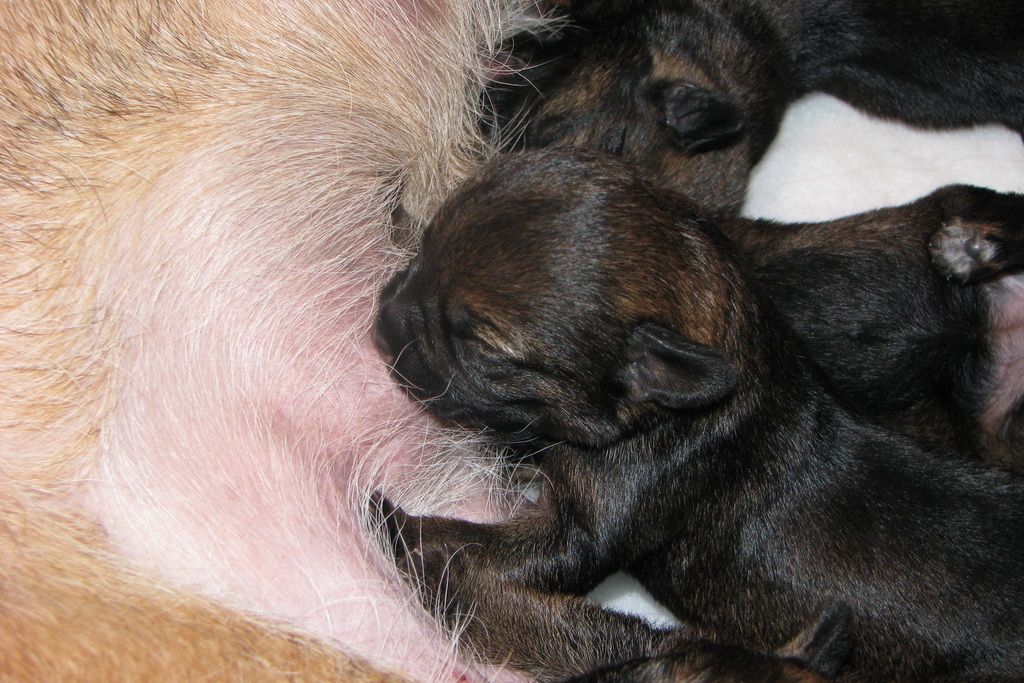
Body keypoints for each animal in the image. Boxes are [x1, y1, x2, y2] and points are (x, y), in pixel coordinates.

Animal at [375, 148, 1024, 680]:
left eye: (484, 350)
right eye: (423, 247)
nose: (382, 322)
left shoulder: (591, 529)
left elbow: (491, 548)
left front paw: (404, 530)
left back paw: (973, 248)